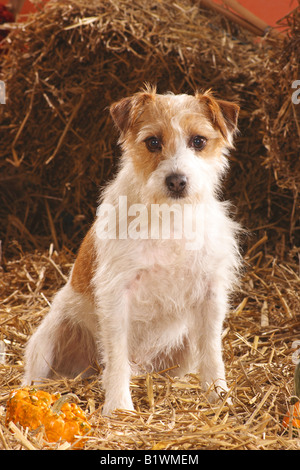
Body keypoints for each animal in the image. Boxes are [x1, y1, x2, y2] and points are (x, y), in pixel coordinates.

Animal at [22, 84, 240, 414]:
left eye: (199, 141)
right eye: (153, 142)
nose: (177, 181)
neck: (170, 217)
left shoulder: (211, 293)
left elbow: (213, 353)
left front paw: (218, 394)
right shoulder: (116, 294)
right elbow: (117, 356)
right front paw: (119, 407)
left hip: (185, 346)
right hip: (48, 337)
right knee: (35, 378)